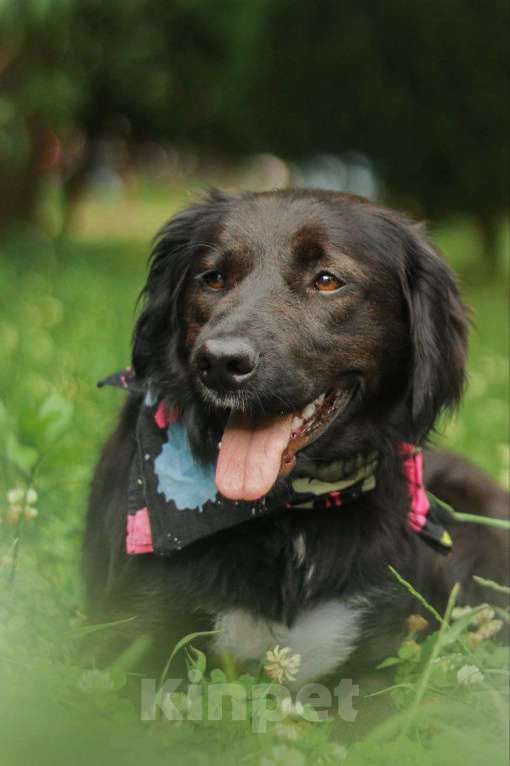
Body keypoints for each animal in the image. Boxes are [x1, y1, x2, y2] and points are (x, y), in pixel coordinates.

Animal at [82, 189, 506, 688]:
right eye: (213, 278)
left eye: (327, 281)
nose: (220, 362)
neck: (294, 513)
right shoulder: (130, 645)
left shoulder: (376, 662)